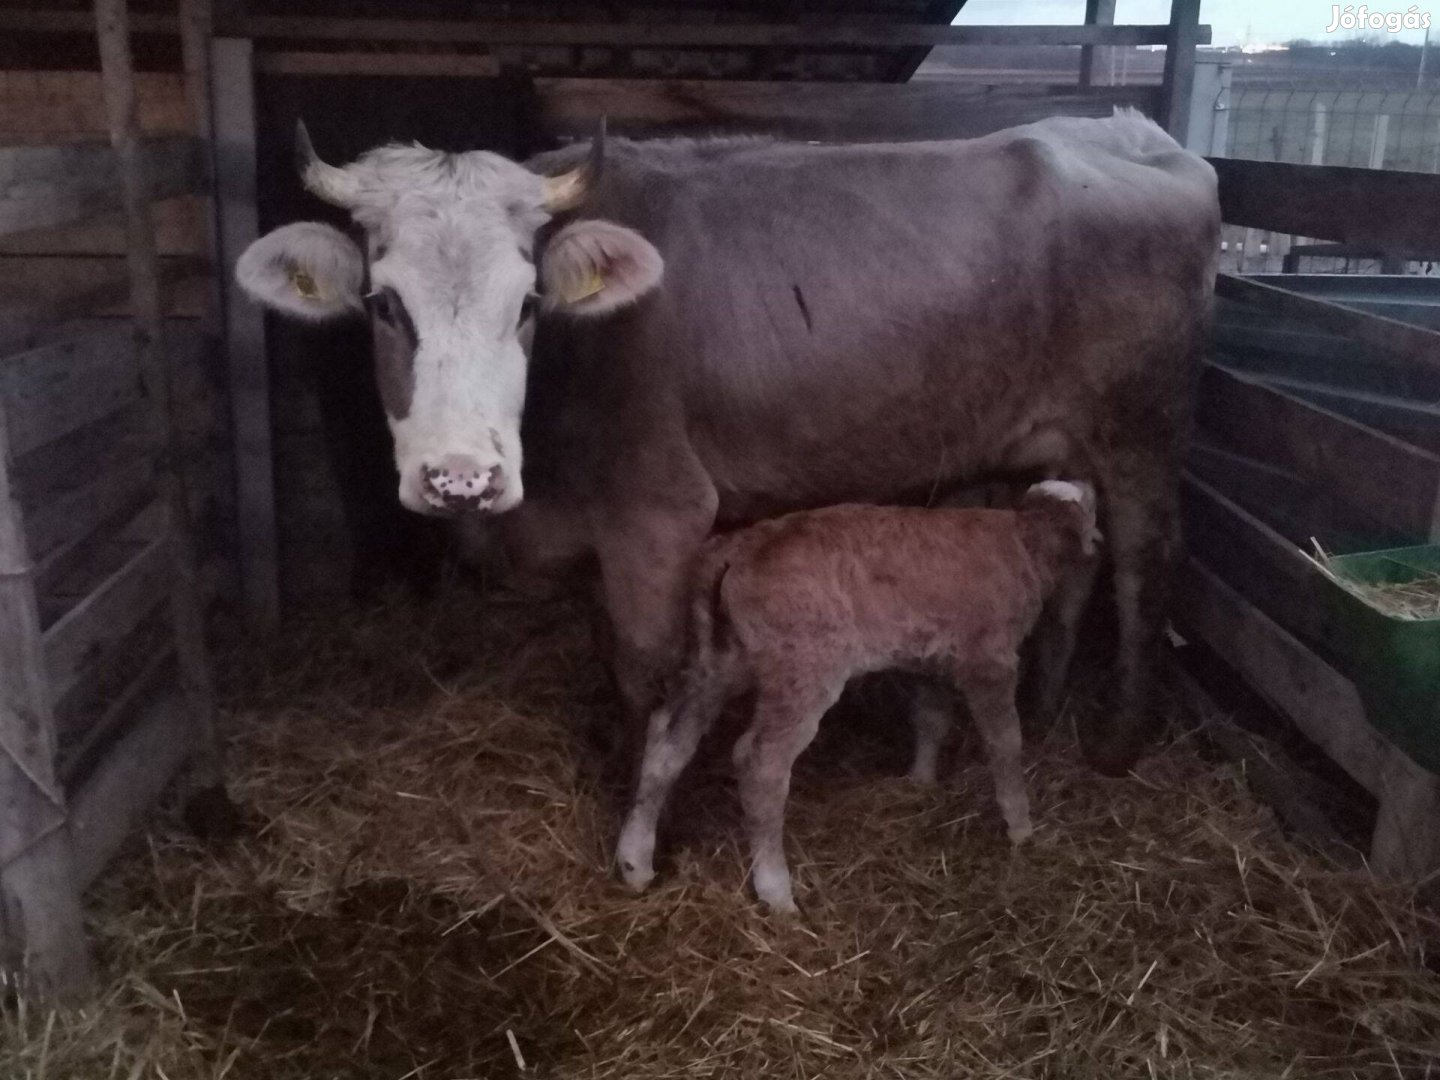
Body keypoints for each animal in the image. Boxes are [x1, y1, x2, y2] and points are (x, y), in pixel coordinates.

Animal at [233, 112, 1215, 777]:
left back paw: (1118, 744)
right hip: (1060, 440)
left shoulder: (659, 511)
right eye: (384, 304)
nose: (460, 478)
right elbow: (607, 653)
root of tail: (1129, 130)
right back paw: (1044, 711)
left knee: (1145, 561)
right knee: (1079, 559)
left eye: (528, 302)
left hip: (1143, 426)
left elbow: (644, 666)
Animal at [613, 480, 1094, 915]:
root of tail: (740, 548)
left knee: (667, 739)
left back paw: (635, 861)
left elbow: (931, 717)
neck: (1024, 541)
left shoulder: (933, 659)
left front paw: (921, 779)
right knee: (760, 763)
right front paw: (1021, 827)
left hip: (716, 660)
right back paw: (776, 891)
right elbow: (1006, 743)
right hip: (804, 665)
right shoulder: (989, 659)